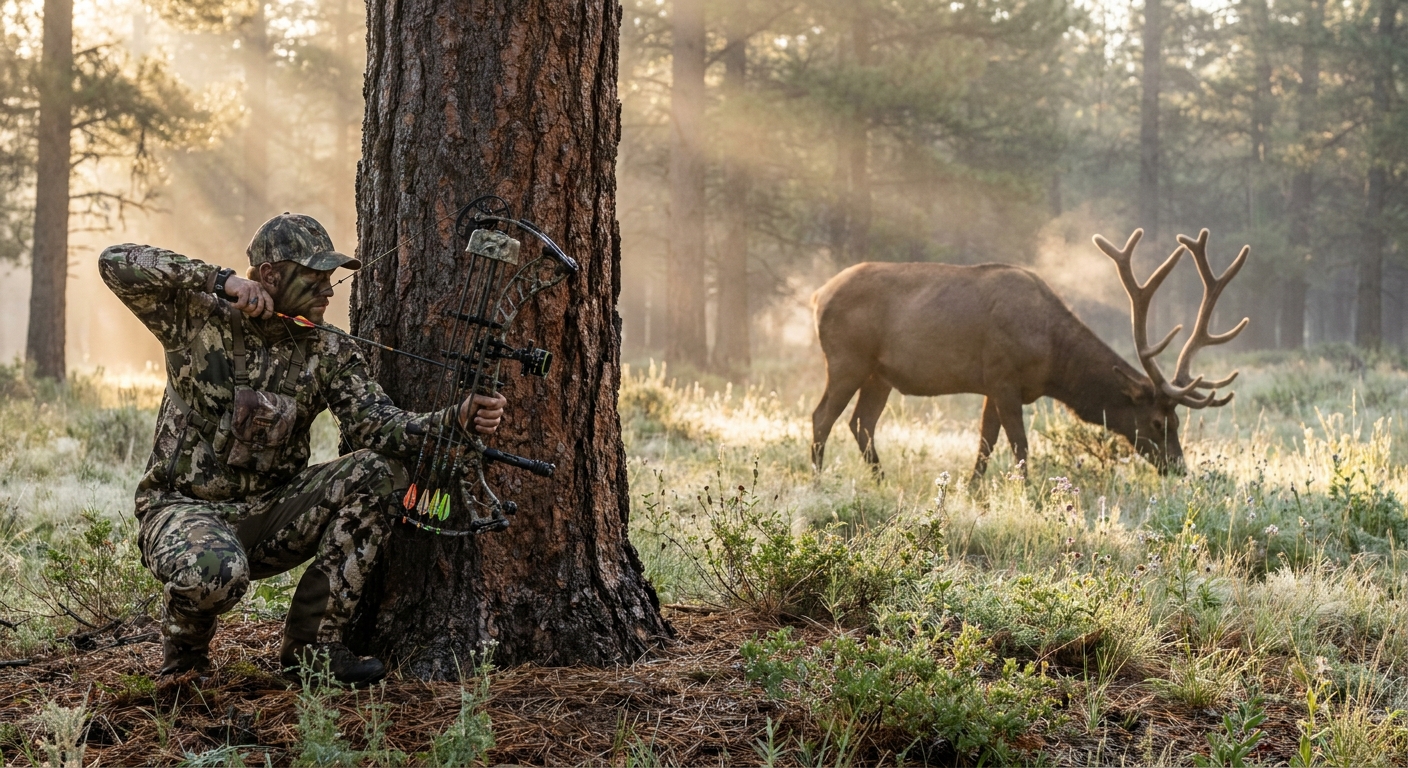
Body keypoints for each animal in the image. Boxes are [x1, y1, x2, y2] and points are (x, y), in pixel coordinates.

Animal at [809, 228, 1249, 483]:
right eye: (1158, 422)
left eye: (1177, 421)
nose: (1179, 468)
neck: (1053, 361)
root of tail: (817, 295)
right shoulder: (1004, 377)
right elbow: (1019, 446)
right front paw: (1030, 495)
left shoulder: (993, 385)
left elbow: (985, 443)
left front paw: (972, 491)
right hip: (847, 360)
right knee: (822, 417)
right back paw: (817, 479)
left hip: (879, 374)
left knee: (861, 423)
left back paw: (882, 480)